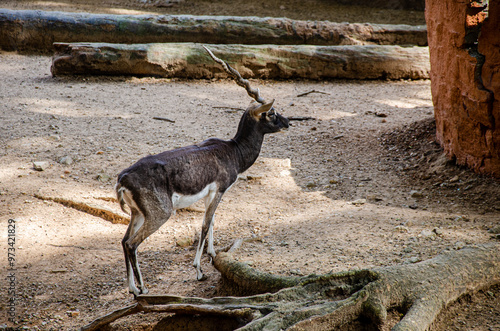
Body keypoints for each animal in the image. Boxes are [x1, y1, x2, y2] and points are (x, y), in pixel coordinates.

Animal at [115, 46, 290, 296]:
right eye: (272, 113)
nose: (288, 122)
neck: (233, 150)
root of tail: (123, 178)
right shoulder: (219, 190)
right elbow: (205, 225)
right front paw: (198, 270)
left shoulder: (210, 194)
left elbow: (213, 221)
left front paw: (213, 254)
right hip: (160, 214)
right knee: (132, 244)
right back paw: (143, 289)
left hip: (137, 213)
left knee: (123, 240)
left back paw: (132, 288)